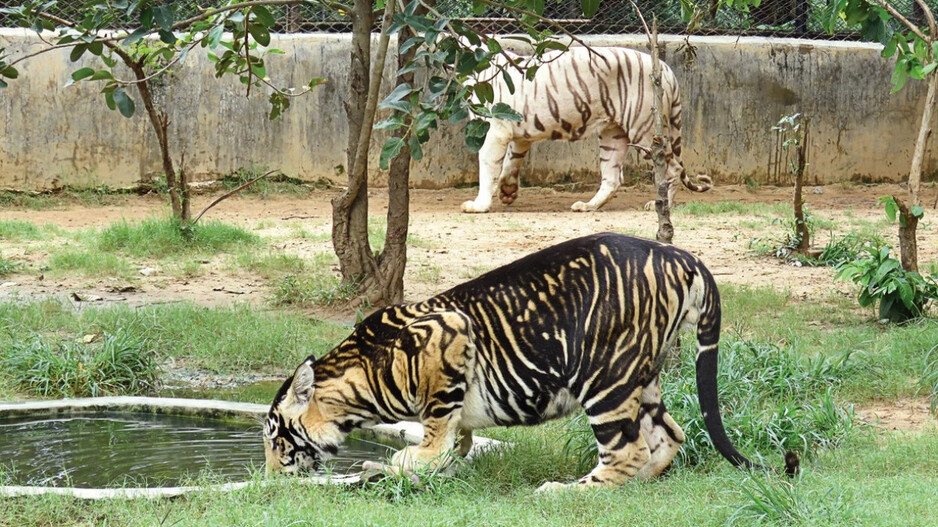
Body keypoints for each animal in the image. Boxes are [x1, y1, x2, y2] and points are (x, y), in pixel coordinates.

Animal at [266, 233, 792, 488]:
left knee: (628, 451)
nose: (269, 474)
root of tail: (681, 255)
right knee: (667, 437)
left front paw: (405, 462)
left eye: (274, 437)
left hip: (604, 375)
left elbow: (434, 430)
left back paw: (569, 489)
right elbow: (454, 437)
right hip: (643, 377)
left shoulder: (448, 334)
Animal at [458, 45, 708, 213]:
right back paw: (588, 205)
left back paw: (663, 204)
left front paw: (479, 205)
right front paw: (508, 192)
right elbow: (511, 161)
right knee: (613, 178)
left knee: (673, 167)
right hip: (612, 135)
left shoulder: (495, 130)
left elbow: (488, 166)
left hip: (643, 128)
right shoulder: (518, 134)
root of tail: (666, 68)